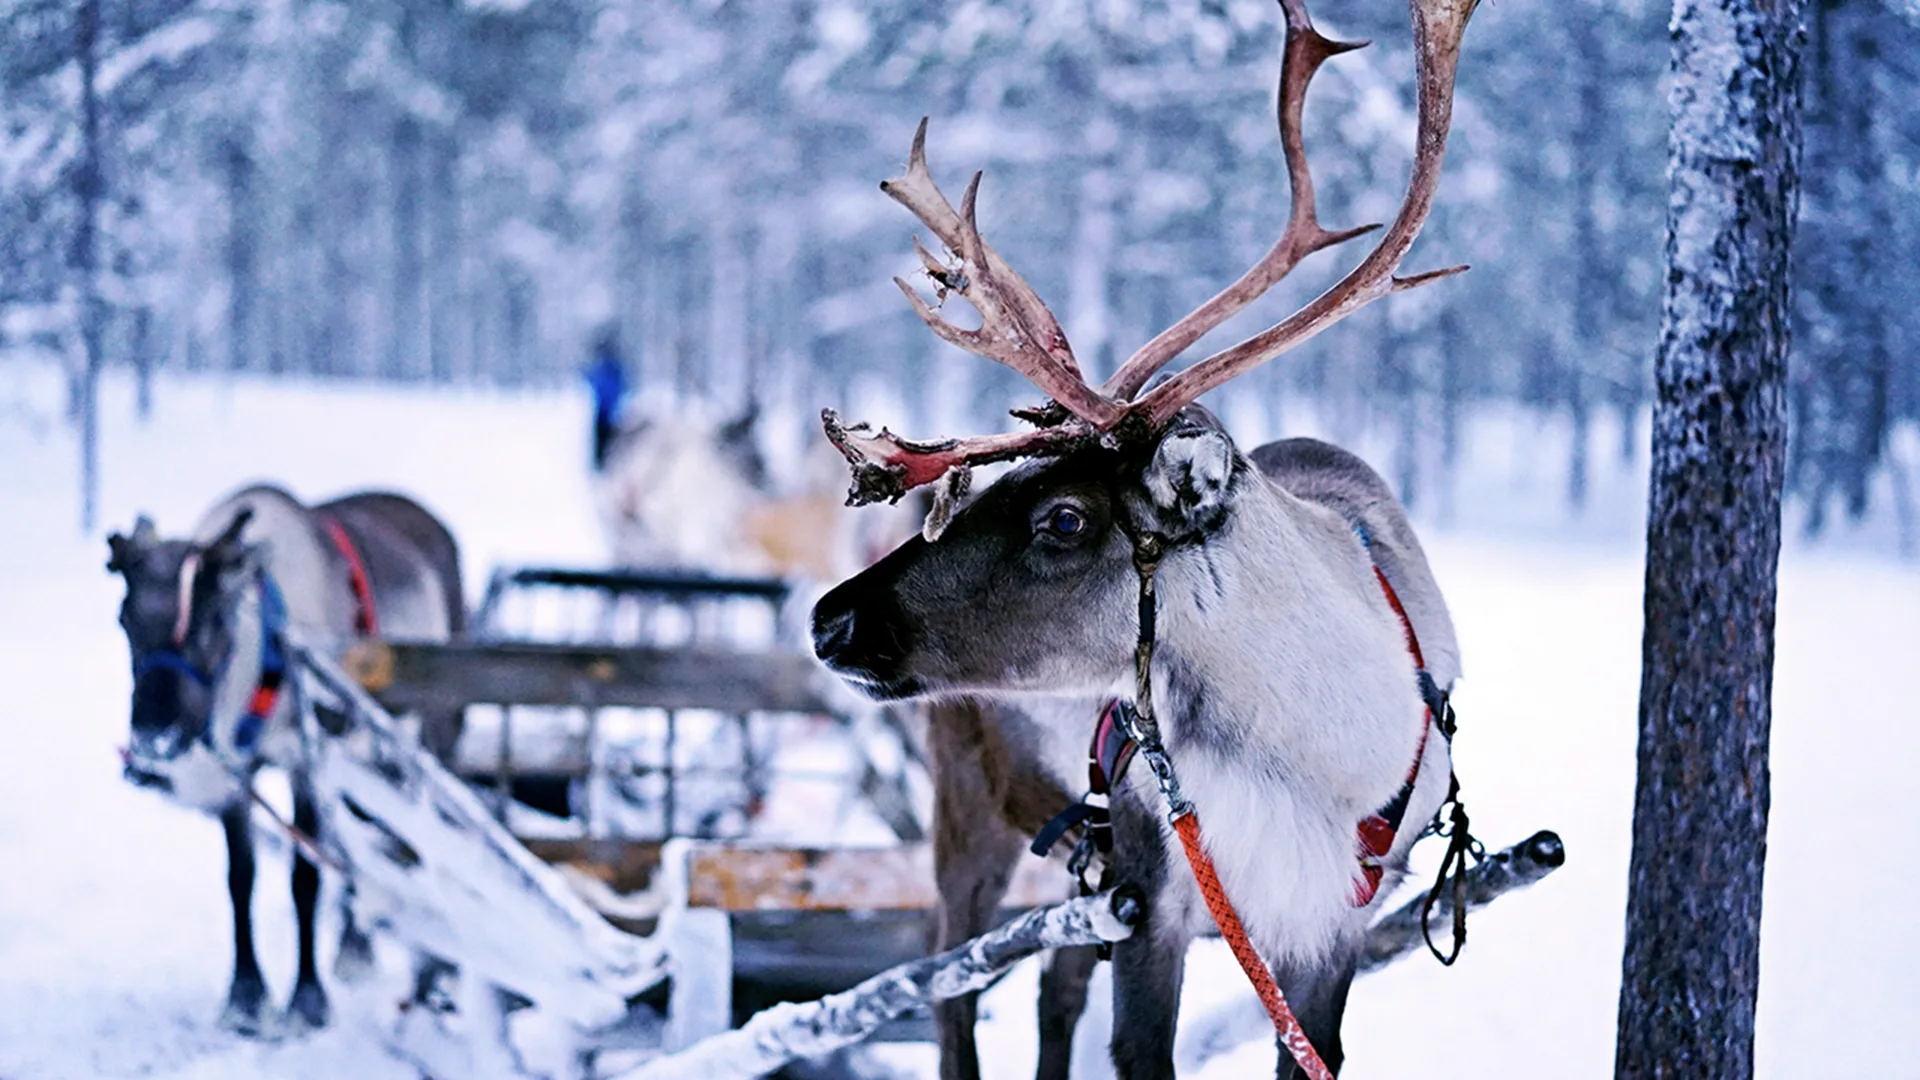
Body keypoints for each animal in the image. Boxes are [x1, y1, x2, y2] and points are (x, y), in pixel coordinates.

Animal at [808, 0, 1480, 1076]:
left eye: (1064, 518)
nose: (831, 619)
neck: (1312, 759)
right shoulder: (1153, 892)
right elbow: (1133, 1044)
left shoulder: (1327, 923)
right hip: (971, 817)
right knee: (948, 984)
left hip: (1073, 869)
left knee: (1049, 987)